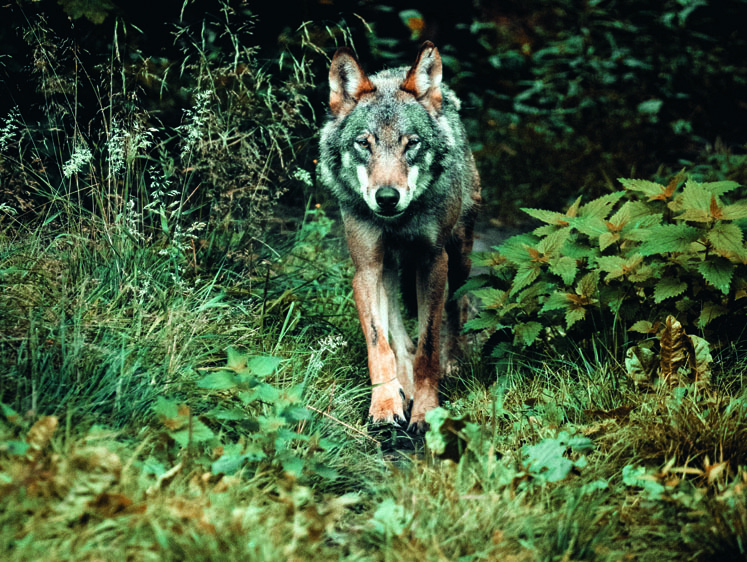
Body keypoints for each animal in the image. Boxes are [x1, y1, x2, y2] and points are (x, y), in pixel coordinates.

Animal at [318, 41, 482, 430]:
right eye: (364, 143)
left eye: (412, 144)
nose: (387, 198)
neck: (398, 222)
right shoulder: (366, 269)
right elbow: (380, 344)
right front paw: (384, 405)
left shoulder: (433, 262)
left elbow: (428, 347)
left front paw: (425, 410)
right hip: (388, 269)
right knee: (397, 331)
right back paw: (401, 385)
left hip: (460, 257)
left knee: (458, 305)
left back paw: (452, 364)